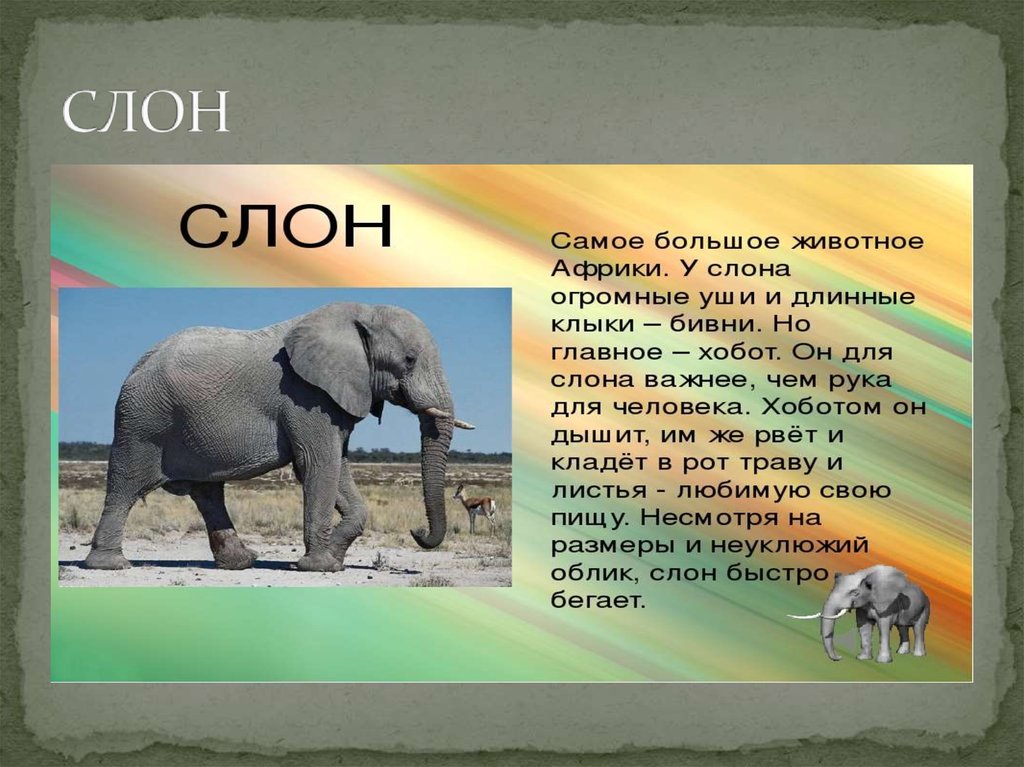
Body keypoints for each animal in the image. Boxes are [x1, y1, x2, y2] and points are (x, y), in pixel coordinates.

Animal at [82, 302, 474, 572]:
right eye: (409, 360)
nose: (417, 532)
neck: (360, 313)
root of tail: (136, 366)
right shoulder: (306, 395)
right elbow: (318, 465)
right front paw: (319, 567)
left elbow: (338, 465)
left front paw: (333, 559)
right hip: (142, 423)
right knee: (126, 486)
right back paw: (111, 565)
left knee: (207, 492)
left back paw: (241, 563)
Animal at [787, 565, 930, 663]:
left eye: (855, 593)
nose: (840, 657)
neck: (865, 575)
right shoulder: (863, 607)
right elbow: (863, 626)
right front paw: (862, 659)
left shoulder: (887, 604)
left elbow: (883, 626)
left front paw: (883, 662)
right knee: (902, 627)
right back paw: (901, 653)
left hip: (925, 608)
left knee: (918, 628)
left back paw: (918, 655)